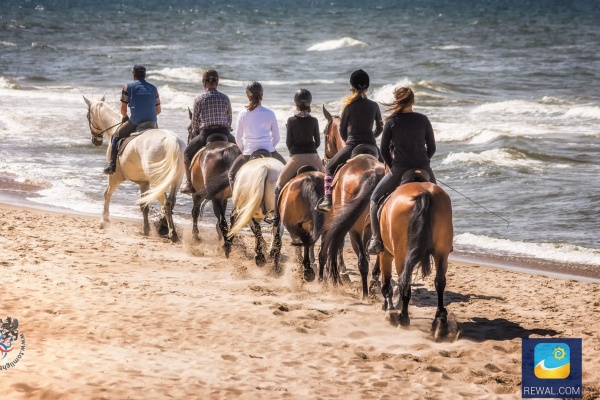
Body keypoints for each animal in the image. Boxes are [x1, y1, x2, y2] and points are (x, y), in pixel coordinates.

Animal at [83, 95, 184, 242]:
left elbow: (107, 194)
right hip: (176, 179)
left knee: (166, 204)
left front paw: (104, 220)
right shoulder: (143, 182)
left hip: (158, 181)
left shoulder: (115, 176)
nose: (96, 141)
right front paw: (146, 229)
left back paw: (172, 233)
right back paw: (165, 227)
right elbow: (144, 206)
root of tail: (173, 141)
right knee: (171, 202)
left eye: (87, 116)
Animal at [188, 108, 244, 256]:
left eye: (189, 129)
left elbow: (195, 212)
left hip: (213, 196)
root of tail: (227, 151)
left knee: (223, 221)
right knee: (232, 218)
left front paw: (195, 236)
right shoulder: (223, 197)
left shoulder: (197, 194)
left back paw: (227, 246)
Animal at [318, 155, 384, 298]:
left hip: (353, 228)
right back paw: (371, 286)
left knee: (360, 260)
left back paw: (364, 293)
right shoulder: (368, 228)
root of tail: (373, 174)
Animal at [380, 182, 454, 340]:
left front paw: (389, 311)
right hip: (441, 252)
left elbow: (386, 284)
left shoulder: (385, 253)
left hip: (401, 254)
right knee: (440, 282)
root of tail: (424, 192)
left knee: (404, 281)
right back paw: (440, 321)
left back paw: (403, 319)